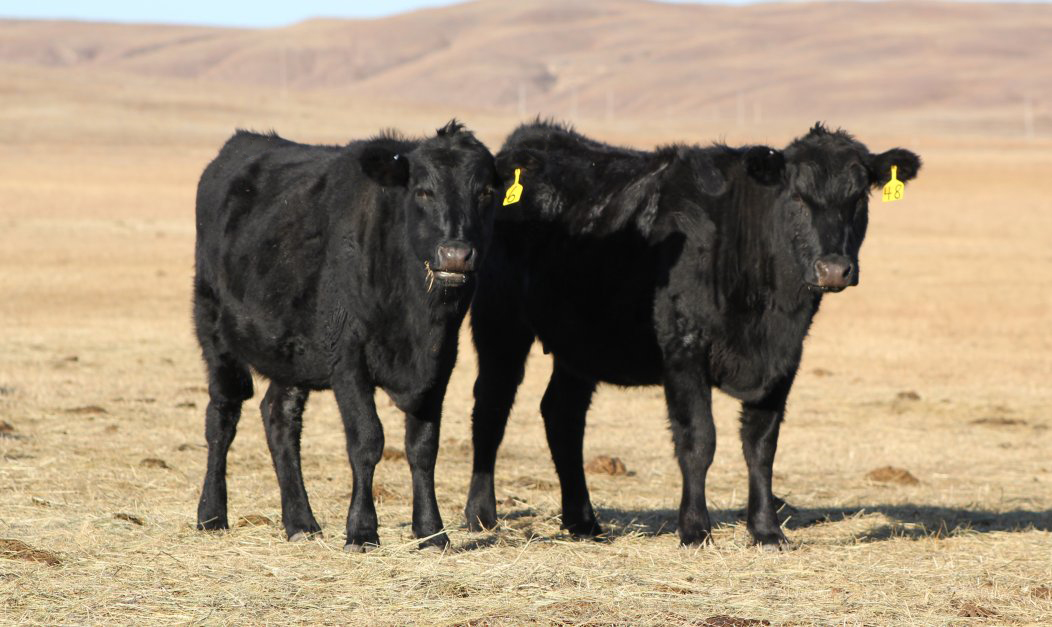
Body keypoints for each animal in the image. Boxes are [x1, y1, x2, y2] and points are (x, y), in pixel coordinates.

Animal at [193, 120, 499, 551]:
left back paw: (301, 522)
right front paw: (362, 530)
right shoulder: (349, 358)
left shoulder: (440, 364)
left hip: (292, 355)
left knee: (279, 418)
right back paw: (211, 514)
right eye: (423, 190)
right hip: (215, 332)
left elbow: (423, 447)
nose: (456, 254)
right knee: (222, 417)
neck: (417, 321)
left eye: (486, 192)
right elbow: (367, 440)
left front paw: (431, 531)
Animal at [464, 121, 920, 549]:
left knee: (563, 415)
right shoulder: (684, 350)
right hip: (499, 323)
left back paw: (582, 521)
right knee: (492, 406)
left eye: (858, 198)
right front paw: (696, 529)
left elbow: (761, 446)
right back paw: (481, 514)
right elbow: (699, 440)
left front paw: (766, 530)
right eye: (797, 197)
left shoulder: (784, 360)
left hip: (579, 344)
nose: (834, 269)